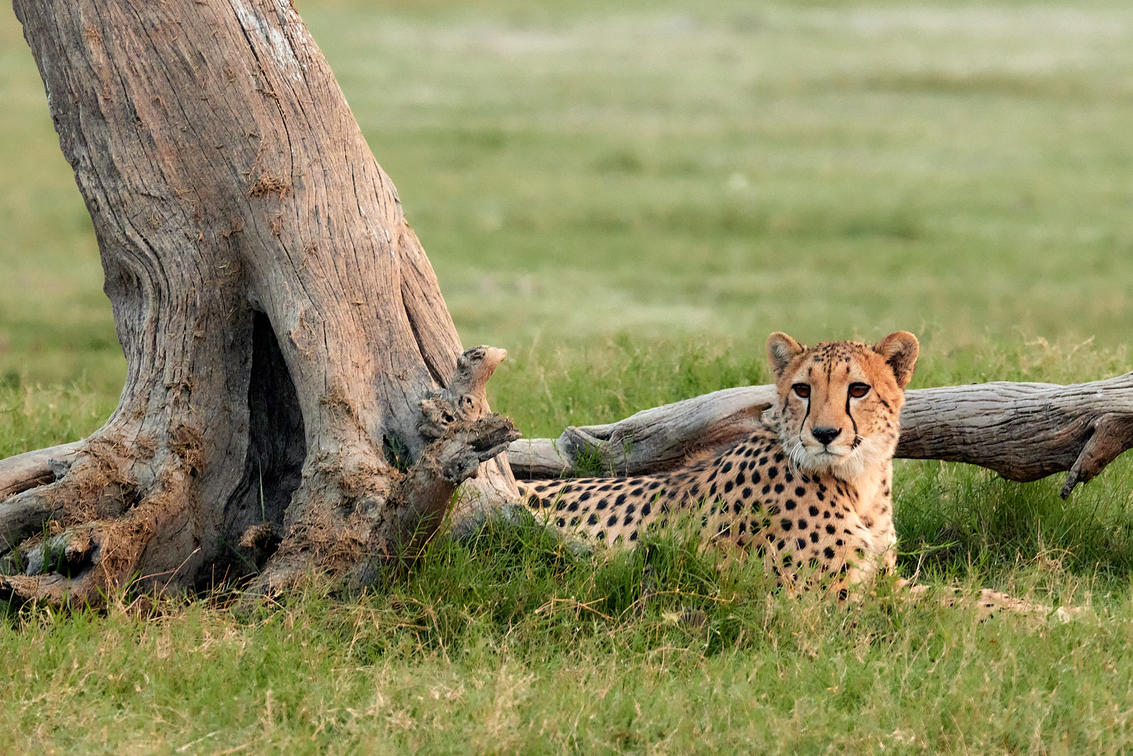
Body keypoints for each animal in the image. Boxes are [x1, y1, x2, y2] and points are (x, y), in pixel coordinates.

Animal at [519, 331, 1073, 619]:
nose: (825, 433)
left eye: (858, 389)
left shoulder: (882, 580)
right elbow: (946, 605)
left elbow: (971, 593)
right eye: (803, 389)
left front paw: (1059, 612)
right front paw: (1054, 620)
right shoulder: (833, 602)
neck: (859, 483)